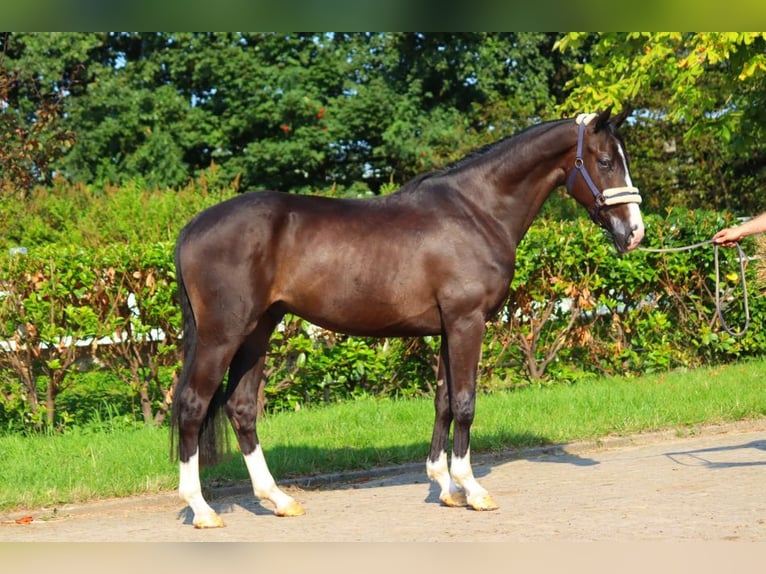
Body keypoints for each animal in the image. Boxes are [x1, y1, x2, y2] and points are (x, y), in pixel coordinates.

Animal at [171, 106, 644, 528]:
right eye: (605, 161)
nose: (635, 233)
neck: (477, 210)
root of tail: (191, 228)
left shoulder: (448, 328)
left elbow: (444, 401)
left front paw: (446, 487)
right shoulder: (467, 322)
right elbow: (465, 403)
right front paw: (473, 489)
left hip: (259, 331)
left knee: (241, 408)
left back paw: (278, 499)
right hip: (222, 335)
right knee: (193, 405)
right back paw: (203, 510)